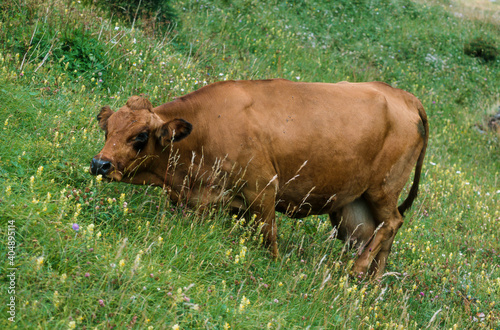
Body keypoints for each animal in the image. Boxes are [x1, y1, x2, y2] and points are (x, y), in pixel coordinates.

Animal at [91, 78, 430, 278]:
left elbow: (269, 238)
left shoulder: (263, 190)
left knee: (392, 223)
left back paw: (357, 272)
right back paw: (370, 286)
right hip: (352, 204)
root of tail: (404, 96)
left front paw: (274, 269)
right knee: (373, 235)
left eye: (140, 136)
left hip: (382, 190)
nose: (99, 164)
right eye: (108, 130)